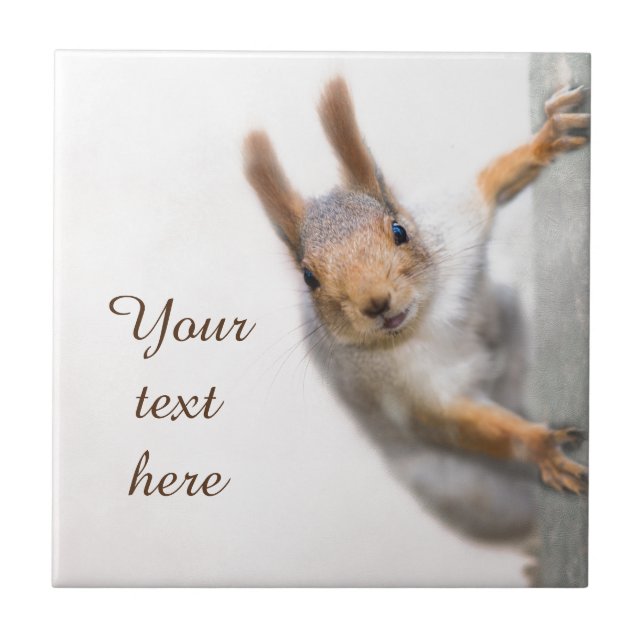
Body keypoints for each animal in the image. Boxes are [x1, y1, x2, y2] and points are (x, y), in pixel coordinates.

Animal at [243, 76, 589, 540]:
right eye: (309, 278)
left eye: (399, 230)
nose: (376, 302)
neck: (425, 320)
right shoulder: (404, 392)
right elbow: (457, 423)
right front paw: (541, 447)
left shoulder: (456, 221)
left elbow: (492, 183)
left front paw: (547, 138)